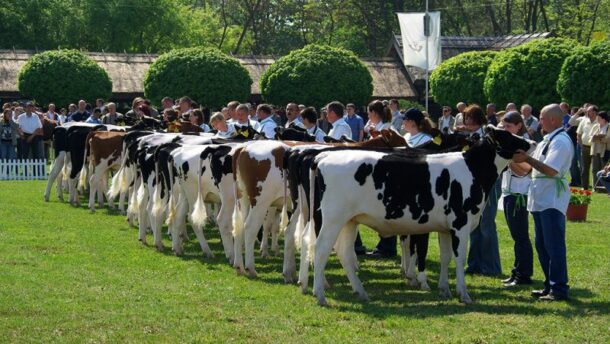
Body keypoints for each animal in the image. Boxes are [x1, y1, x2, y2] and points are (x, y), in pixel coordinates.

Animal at [304, 126, 532, 304]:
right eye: (508, 135)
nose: (530, 141)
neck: (473, 170)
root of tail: (324, 156)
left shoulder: (446, 228)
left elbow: (445, 256)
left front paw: (444, 289)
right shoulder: (461, 223)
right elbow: (459, 258)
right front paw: (463, 293)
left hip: (350, 221)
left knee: (343, 252)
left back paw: (360, 291)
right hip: (332, 218)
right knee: (321, 248)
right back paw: (320, 294)